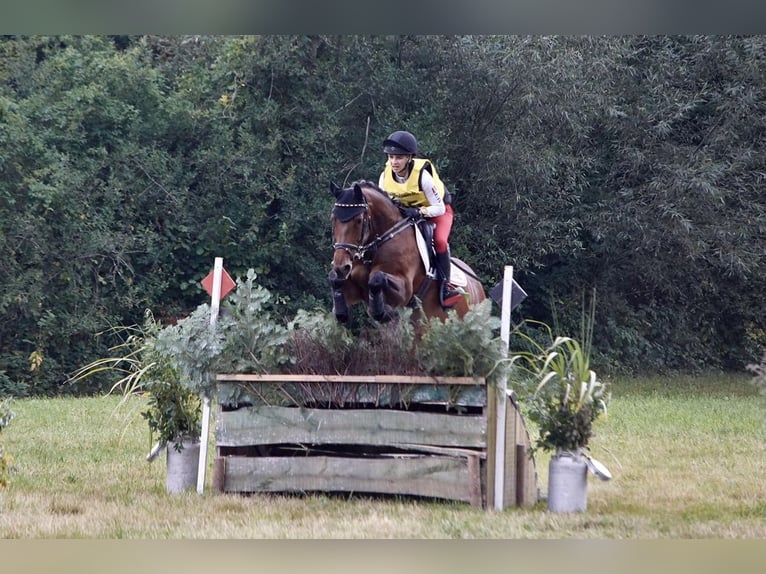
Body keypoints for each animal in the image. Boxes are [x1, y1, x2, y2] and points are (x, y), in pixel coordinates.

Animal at [328, 182, 486, 328]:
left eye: (359, 220)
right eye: (333, 218)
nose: (341, 266)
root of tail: (477, 284)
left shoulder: (404, 289)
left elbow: (376, 279)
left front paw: (383, 313)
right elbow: (335, 279)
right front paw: (341, 313)